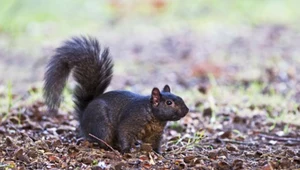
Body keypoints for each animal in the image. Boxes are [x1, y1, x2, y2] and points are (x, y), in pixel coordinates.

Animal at [43, 36, 189, 153]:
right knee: (101, 140)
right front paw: (127, 150)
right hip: (102, 126)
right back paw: (111, 147)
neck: (153, 116)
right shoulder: (131, 121)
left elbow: (154, 143)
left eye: (181, 98)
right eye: (169, 103)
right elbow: (124, 132)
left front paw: (159, 153)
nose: (186, 110)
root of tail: (83, 119)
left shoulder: (155, 133)